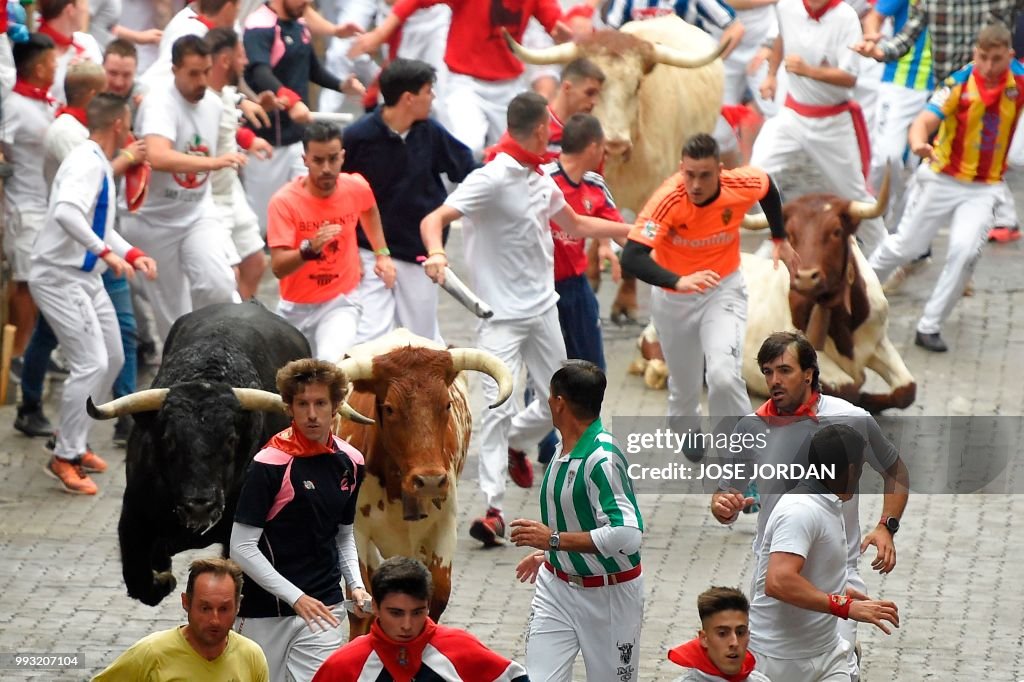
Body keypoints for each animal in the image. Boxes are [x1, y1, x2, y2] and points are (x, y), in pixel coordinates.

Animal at [88, 303, 309, 606]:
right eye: (169, 439)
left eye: (230, 439)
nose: (199, 505)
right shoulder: (133, 517)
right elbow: (139, 580)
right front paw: (163, 578)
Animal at [333, 327, 512, 634]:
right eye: (389, 408)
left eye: (447, 404)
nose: (430, 481)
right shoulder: (357, 531)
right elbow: (361, 604)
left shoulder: (444, 525)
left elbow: (435, 594)